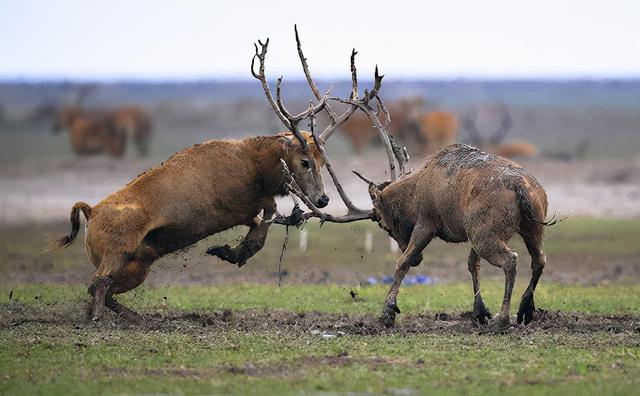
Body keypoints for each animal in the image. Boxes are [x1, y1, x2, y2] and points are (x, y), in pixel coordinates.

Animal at [51, 24, 400, 324]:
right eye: (304, 161)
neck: (256, 167)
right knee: (96, 284)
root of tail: (90, 212)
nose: (324, 199)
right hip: (117, 252)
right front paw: (235, 250)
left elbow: (264, 221)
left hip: (138, 263)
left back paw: (132, 316)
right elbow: (267, 213)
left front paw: (232, 250)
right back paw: (98, 317)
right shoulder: (233, 204)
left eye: (323, 160)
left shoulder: (246, 207)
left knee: (104, 288)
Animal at [352, 143, 552, 328]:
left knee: (511, 259)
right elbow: (472, 264)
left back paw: (503, 318)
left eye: (382, 223)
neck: (413, 195)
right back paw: (525, 309)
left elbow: (402, 262)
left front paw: (387, 313)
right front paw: (479, 312)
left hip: (485, 234)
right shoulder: (470, 231)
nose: (419, 259)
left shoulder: (426, 223)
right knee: (539, 259)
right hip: (528, 228)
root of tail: (520, 186)